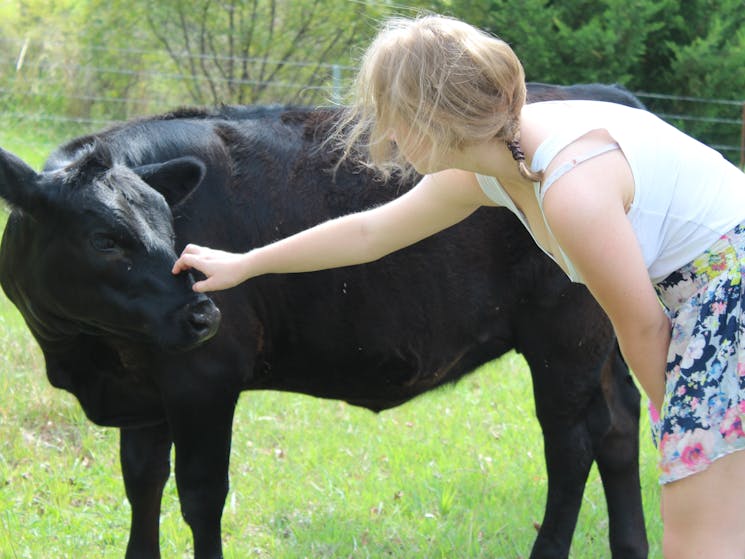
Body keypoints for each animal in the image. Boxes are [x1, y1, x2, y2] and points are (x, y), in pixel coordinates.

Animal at [1, 84, 644, 559]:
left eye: (169, 222)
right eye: (104, 238)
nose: (203, 312)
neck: (91, 357)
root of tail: (608, 97)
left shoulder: (204, 379)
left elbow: (201, 495)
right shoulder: (144, 394)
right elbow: (142, 485)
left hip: (564, 341)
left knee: (571, 446)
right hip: (604, 340)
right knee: (619, 428)